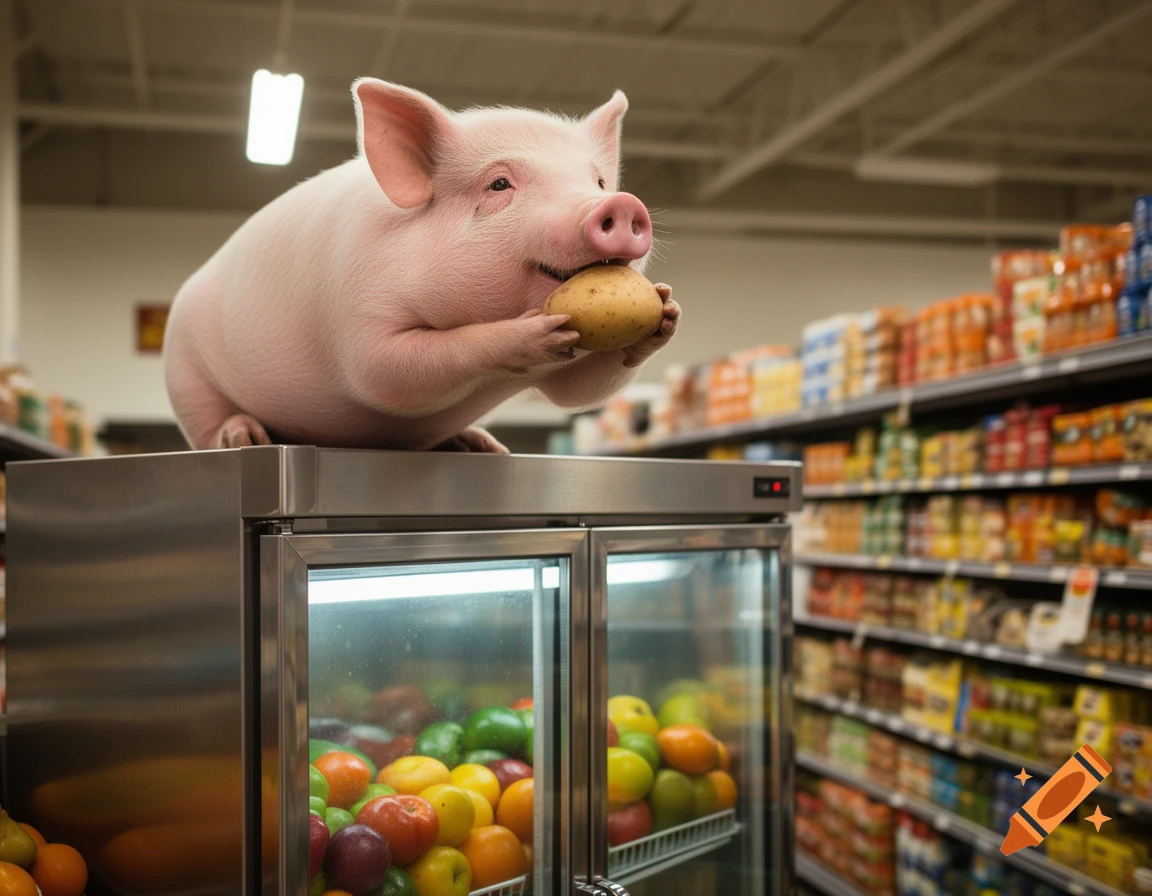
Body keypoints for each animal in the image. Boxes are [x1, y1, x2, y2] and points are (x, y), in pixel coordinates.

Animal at [163, 79, 679, 453]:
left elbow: (580, 392)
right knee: (206, 424)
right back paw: (243, 437)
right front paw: (532, 334)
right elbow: (389, 372)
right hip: (184, 369)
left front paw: (668, 311)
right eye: (498, 184)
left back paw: (480, 445)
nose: (621, 203)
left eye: (598, 181)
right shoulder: (356, 317)